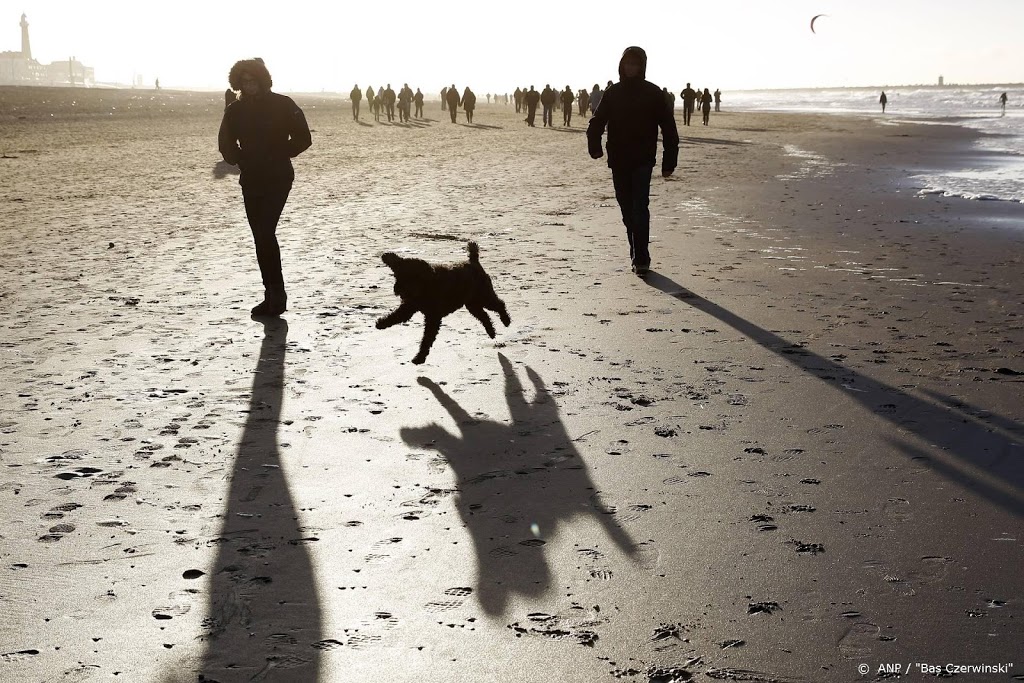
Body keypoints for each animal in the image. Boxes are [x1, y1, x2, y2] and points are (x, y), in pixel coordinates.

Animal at [376, 242, 512, 366]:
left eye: (412, 277)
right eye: (397, 275)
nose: (398, 289)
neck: (426, 285)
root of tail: (473, 262)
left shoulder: (433, 317)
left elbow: (426, 339)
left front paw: (420, 357)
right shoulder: (409, 307)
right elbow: (396, 316)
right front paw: (381, 323)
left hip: (484, 296)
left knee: (499, 305)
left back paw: (506, 321)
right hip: (472, 304)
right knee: (484, 316)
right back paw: (491, 332)